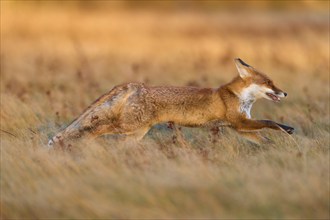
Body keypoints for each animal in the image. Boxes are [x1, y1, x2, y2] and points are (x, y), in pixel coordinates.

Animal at [48, 58, 294, 147]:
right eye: (269, 82)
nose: (284, 93)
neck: (239, 97)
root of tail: (137, 85)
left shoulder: (239, 127)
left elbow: (263, 136)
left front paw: (272, 149)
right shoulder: (239, 122)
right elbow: (271, 122)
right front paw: (287, 129)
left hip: (137, 132)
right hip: (127, 125)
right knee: (95, 128)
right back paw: (84, 143)